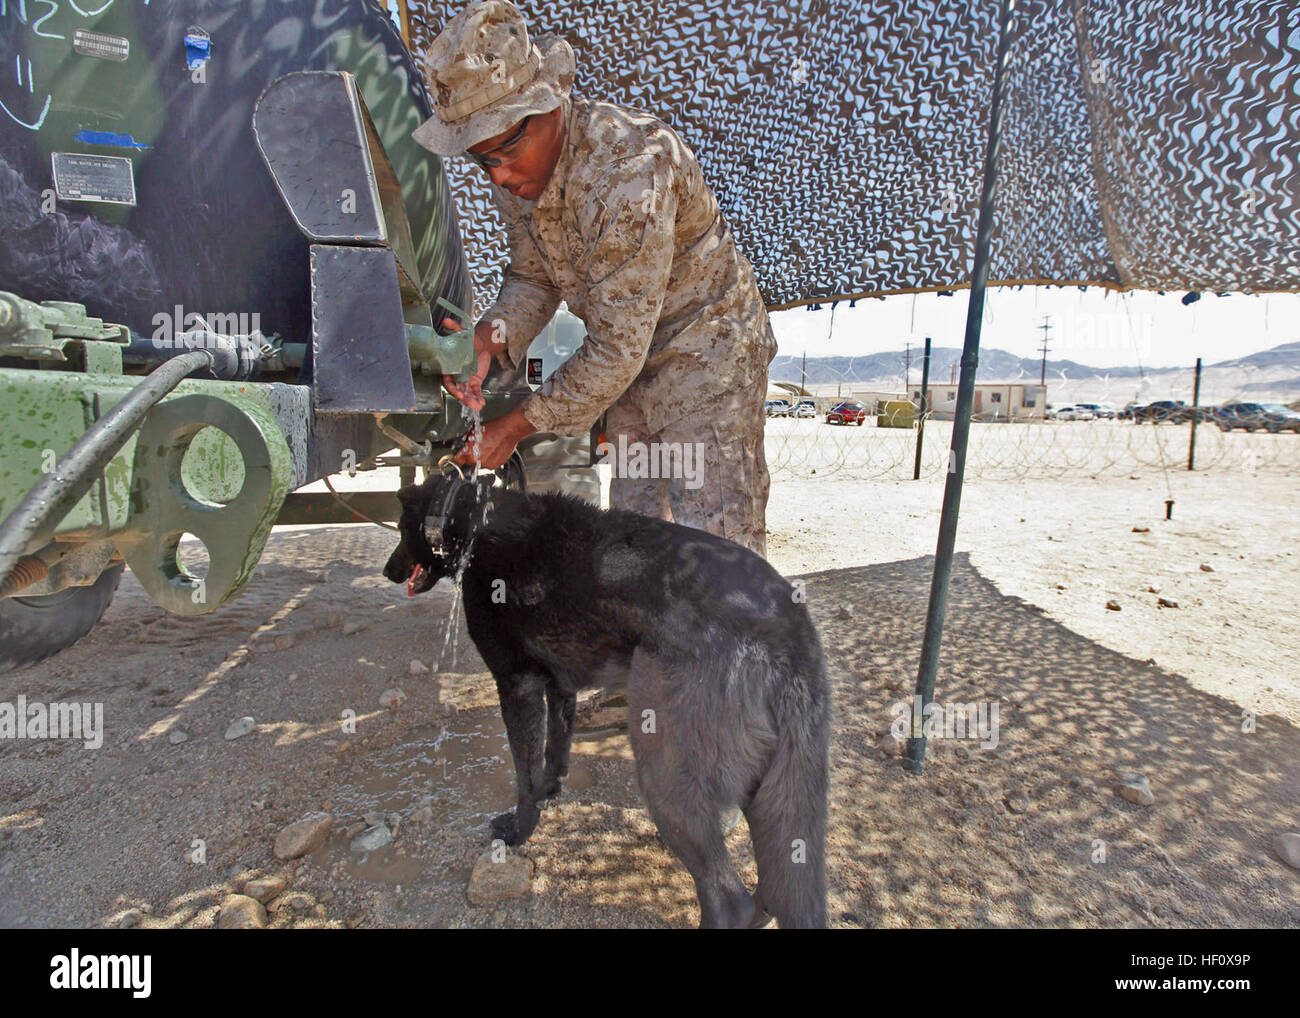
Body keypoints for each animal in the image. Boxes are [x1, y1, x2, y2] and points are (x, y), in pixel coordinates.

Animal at [379, 473, 826, 925]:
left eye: (399, 528)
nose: (388, 571)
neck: (474, 521)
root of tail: (788, 624)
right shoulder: (558, 686)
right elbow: (554, 752)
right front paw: (550, 791)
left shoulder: (517, 685)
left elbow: (524, 775)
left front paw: (521, 830)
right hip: (767, 794)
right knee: (770, 887)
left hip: (665, 766)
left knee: (730, 900)